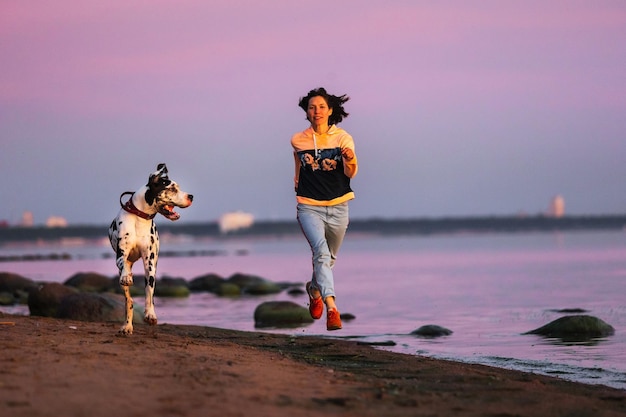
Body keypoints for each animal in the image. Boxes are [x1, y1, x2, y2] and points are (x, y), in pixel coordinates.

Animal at [108, 163, 193, 334]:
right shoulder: (121, 253)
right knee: (129, 300)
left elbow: (149, 293)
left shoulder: (150, 262)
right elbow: (123, 264)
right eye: (172, 188)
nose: (191, 196)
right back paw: (127, 326)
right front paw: (127, 276)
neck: (140, 218)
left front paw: (150, 315)